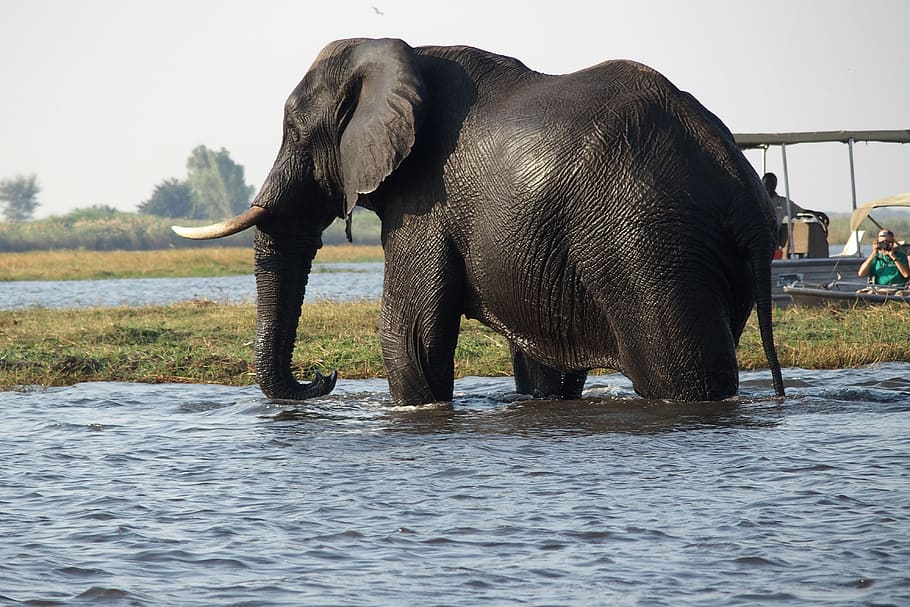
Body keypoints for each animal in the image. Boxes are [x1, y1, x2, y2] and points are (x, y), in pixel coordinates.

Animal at [173, 37, 784, 404]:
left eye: (295, 132)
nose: (323, 375)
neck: (402, 55)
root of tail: (738, 175)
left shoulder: (426, 199)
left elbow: (409, 335)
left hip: (651, 249)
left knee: (682, 373)